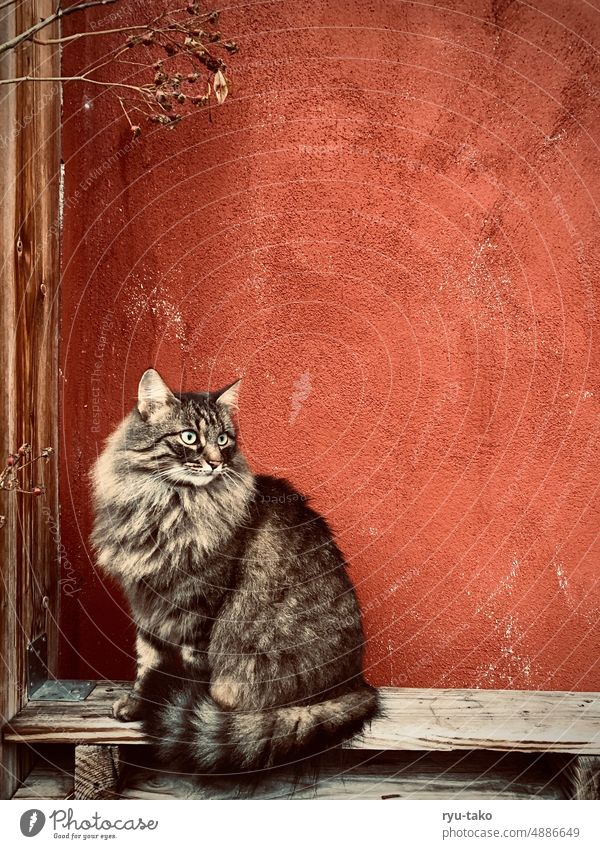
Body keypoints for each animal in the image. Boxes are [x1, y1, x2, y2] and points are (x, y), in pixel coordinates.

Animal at [91, 368, 378, 772]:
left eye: (223, 439)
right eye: (190, 437)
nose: (215, 463)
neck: (169, 506)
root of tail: (356, 685)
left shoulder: (199, 607)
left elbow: (189, 666)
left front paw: (173, 705)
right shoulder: (147, 602)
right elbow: (147, 660)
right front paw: (136, 703)